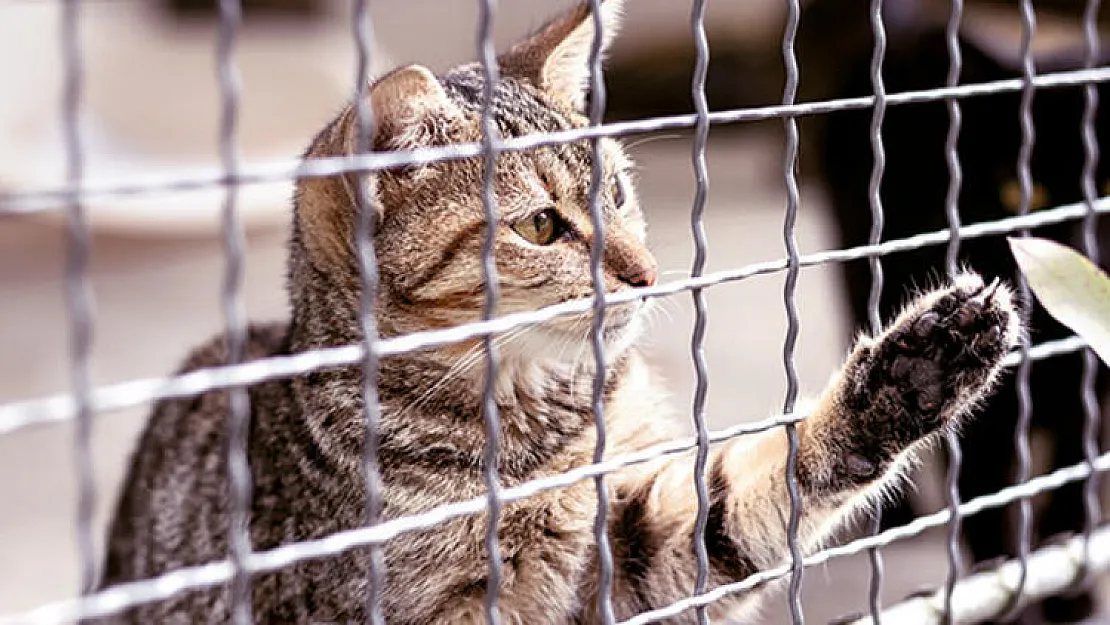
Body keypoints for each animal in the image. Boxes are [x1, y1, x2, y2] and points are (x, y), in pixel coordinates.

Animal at [102, 2, 1021, 621]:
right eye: (542, 226)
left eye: (615, 192)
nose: (648, 272)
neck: (544, 432)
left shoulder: (643, 545)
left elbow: (755, 489)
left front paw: (913, 373)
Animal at [816, 19, 1110, 625]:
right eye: (1023, 191)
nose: (1080, 258)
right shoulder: (990, 420)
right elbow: (985, 506)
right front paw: (1007, 592)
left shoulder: (1093, 396)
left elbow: (1076, 475)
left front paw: (1069, 586)